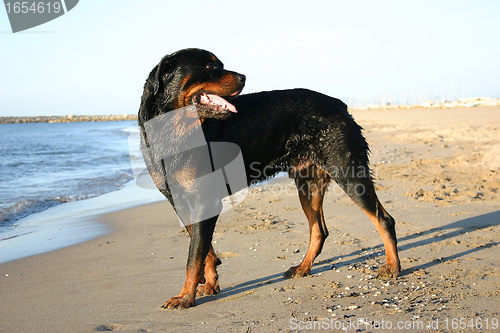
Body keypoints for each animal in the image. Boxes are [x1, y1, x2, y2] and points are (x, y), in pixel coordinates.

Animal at [138, 48, 402, 308]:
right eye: (210, 67)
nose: (243, 77)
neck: (172, 131)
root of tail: (340, 105)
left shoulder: (204, 199)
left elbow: (194, 257)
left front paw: (184, 297)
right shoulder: (181, 201)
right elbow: (204, 251)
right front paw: (209, 286)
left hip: (348, 172)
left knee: (383, 219)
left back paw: (392, 266)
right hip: (308, 184)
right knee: (319, 230)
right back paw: (303, 267)